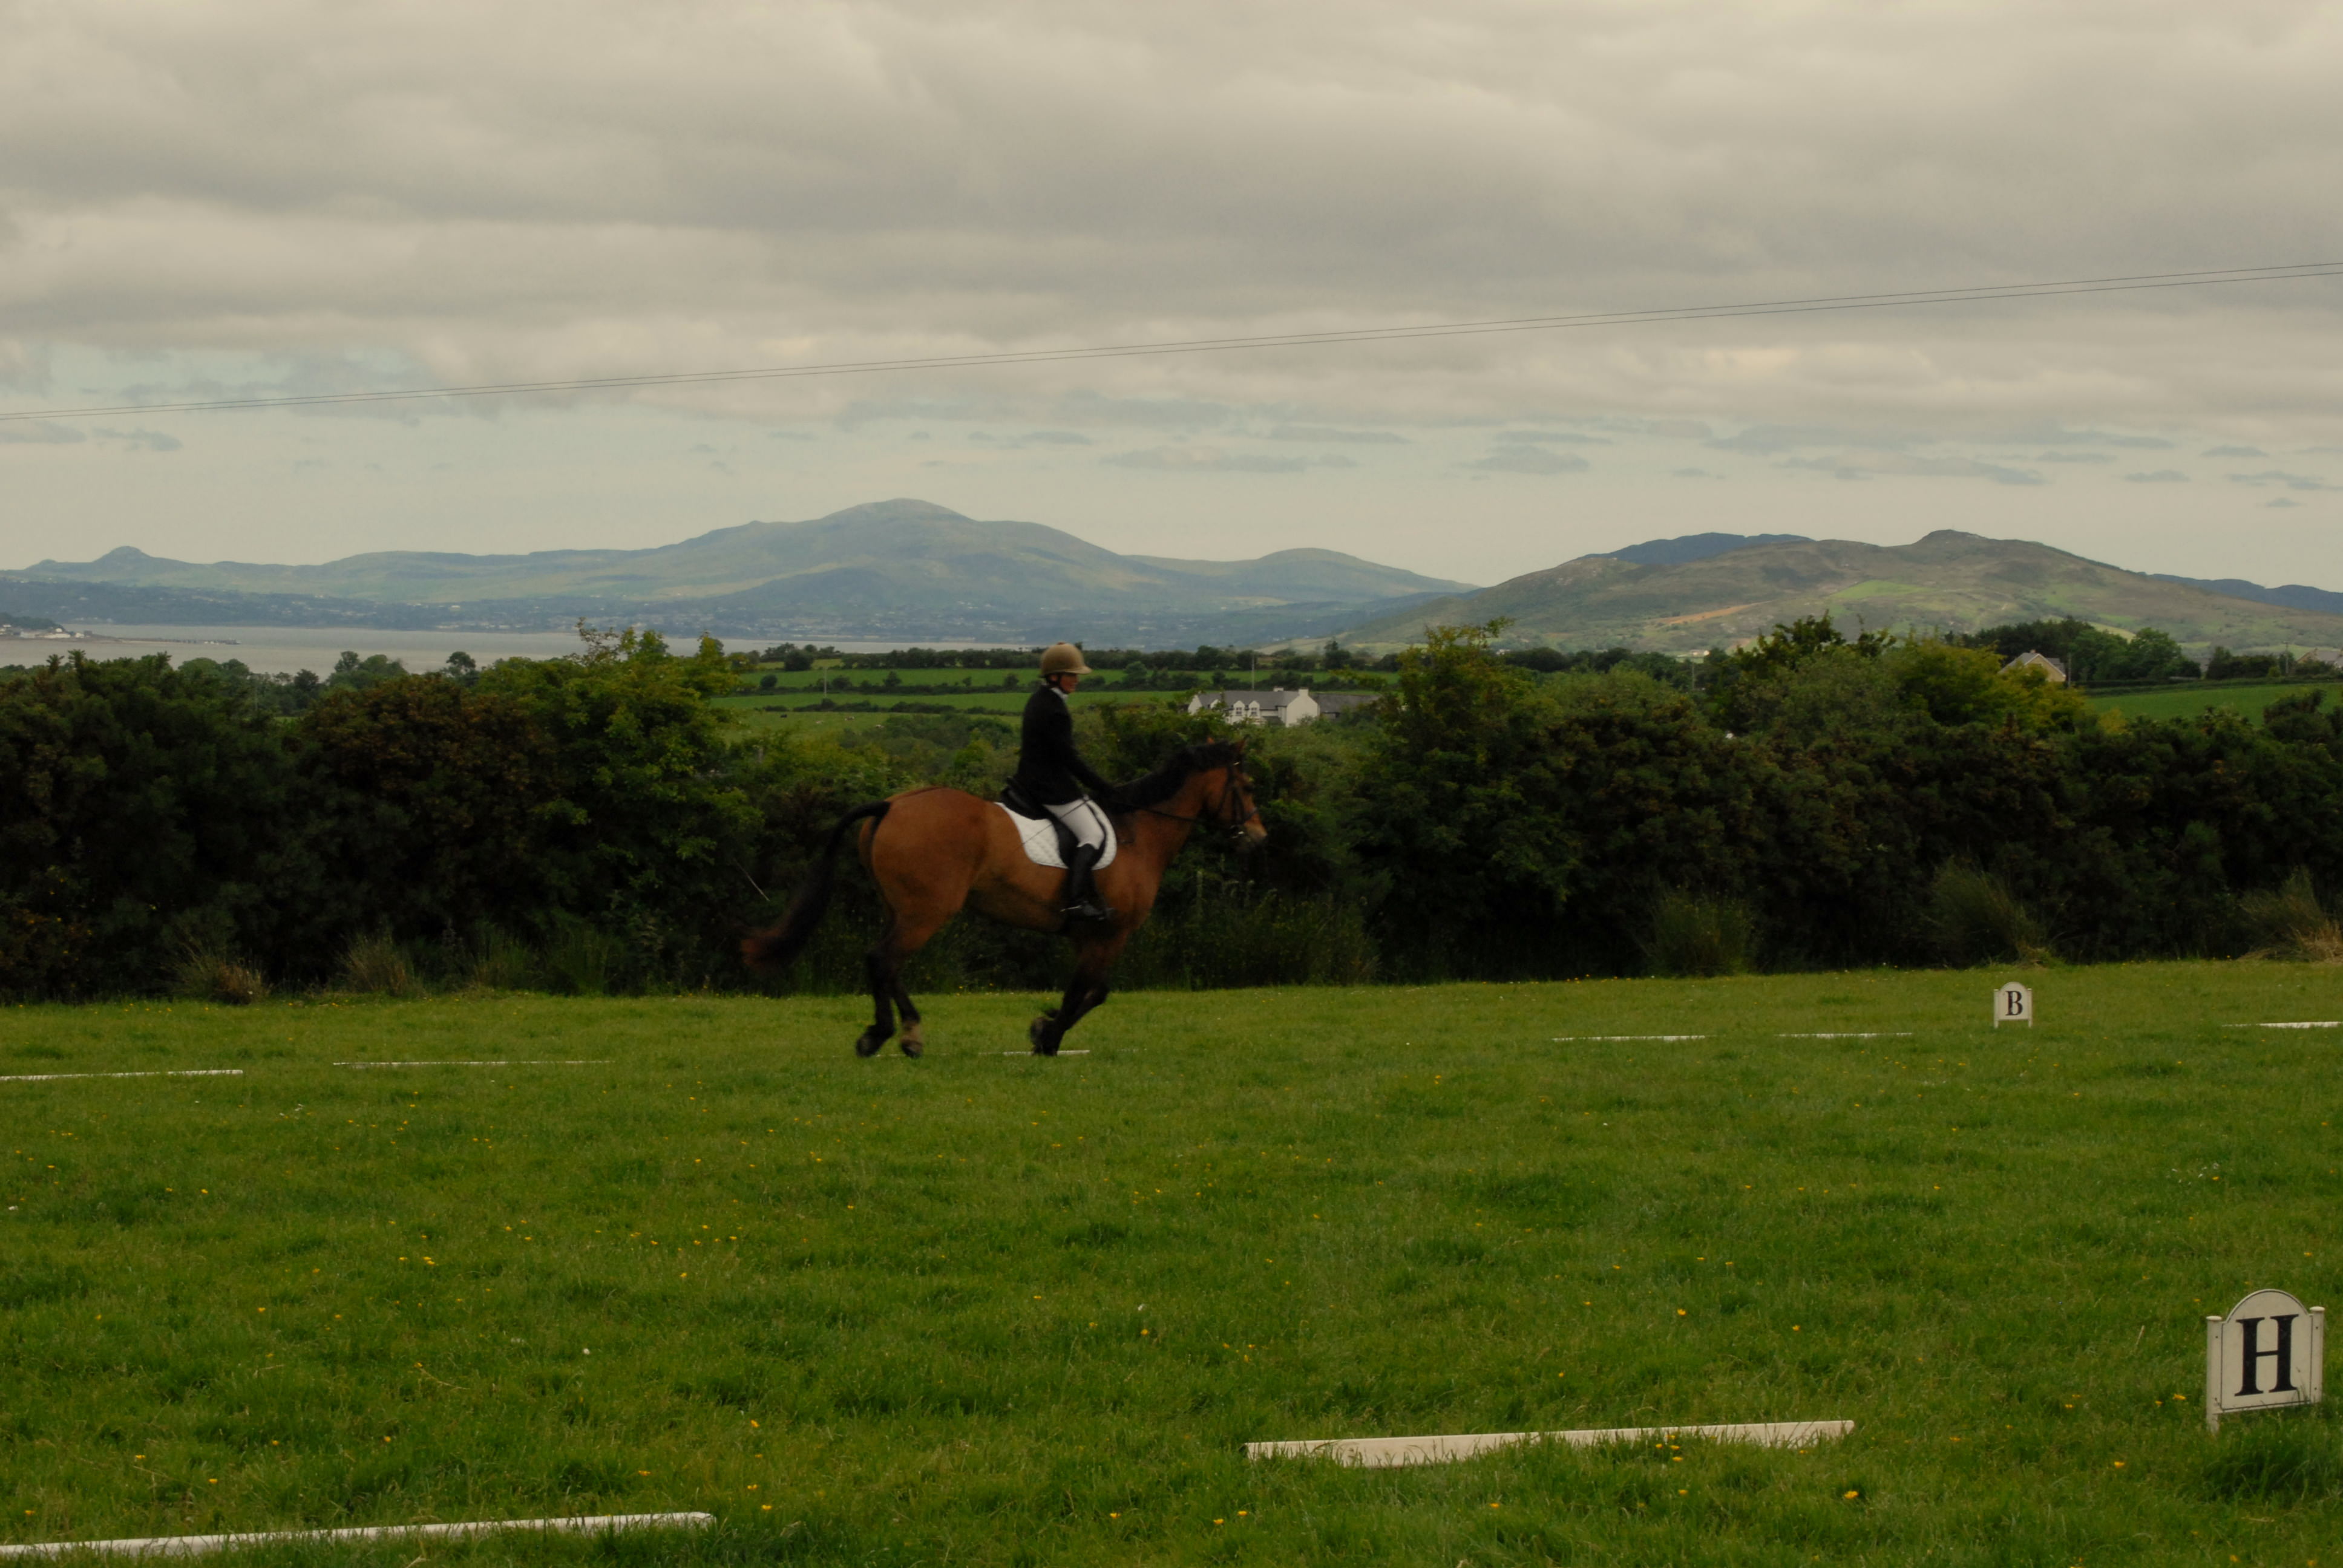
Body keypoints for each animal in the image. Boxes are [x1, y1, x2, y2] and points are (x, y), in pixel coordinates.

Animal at [741, 740, 1264, 1056]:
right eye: (1246, 786)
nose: (1258, 838)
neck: (1140, 832)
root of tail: (893, 804)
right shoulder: (1110, 934)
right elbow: (1090, 991)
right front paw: (1047, 1037)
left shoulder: (1087, 936)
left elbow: (1089, 991)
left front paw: (1044, 1030)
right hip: (927, 911)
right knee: (883, 959)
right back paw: (893, 1034)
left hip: (902, 908)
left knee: (885, 963)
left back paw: (897, 1033)